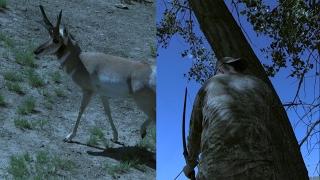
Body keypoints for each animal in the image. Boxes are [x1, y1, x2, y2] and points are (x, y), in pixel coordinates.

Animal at [33, 5, 156, 143]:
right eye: (48, 36)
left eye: (56, 40)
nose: (36, 51)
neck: (80, 60)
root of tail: (152, 70)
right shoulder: (103, 94)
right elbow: (108, 111)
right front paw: (115, 137)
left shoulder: (88, 91)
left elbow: (81, 110)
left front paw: (69, 136)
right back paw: (142, 132)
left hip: (142, 102)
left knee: (154, 117)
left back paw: (142, 131)